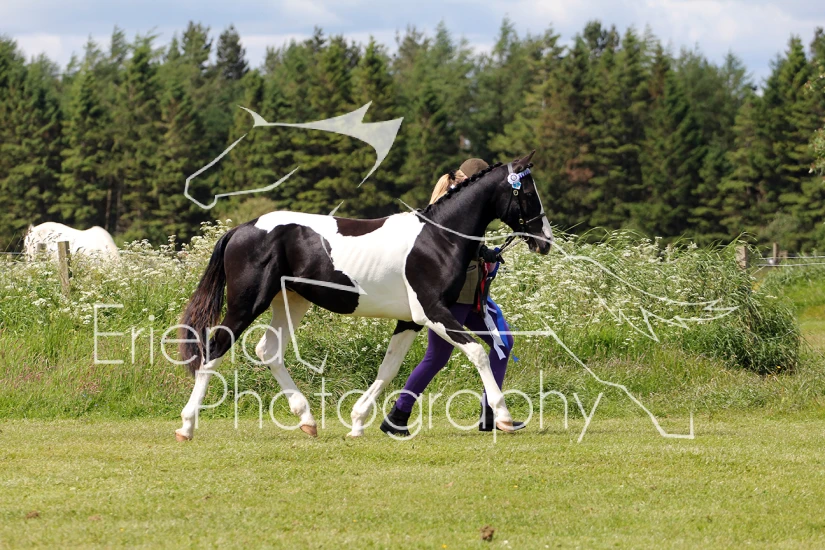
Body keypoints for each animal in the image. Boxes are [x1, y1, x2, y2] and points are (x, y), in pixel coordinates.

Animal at [175, 151, 553, 441]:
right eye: (527, 193)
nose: (545, 241)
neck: (437, 239)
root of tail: (241, 229)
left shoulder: (411, 321)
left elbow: (390, 367)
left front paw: (358, 422)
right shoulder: (433, 311)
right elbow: (477, 352)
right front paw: (504, 417)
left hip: (291, 301)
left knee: (268, 350)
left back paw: (308, 421)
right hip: (247, 303)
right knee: (215, 348)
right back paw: (187, 426)